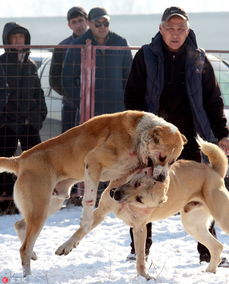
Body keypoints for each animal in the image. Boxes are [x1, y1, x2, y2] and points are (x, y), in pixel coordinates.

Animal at [0, 110, 187, 276]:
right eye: (162, 157)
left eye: (172, 161)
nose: (162, 178)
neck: (136, 137)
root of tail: (20, 159)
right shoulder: (92, 162)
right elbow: (89, 200)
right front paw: (86, 222)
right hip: (40, 208)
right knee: (24, 247)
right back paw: (28, 275)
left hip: (50, 204)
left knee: (20, 225)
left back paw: (32, 254)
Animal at [60, 138, 229, 280]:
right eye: (137, 183)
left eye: (140, 199)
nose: (116, 194)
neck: (128, 203)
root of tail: (214, 172)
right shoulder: (100, 212)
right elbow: (81, 230)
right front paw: (65, 247)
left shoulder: (140, 228)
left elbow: (141, 256)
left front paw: (144, 276)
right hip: (192, 225)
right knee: (217, 247)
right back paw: (209, 272)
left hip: (219, 219)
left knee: (218, 245)